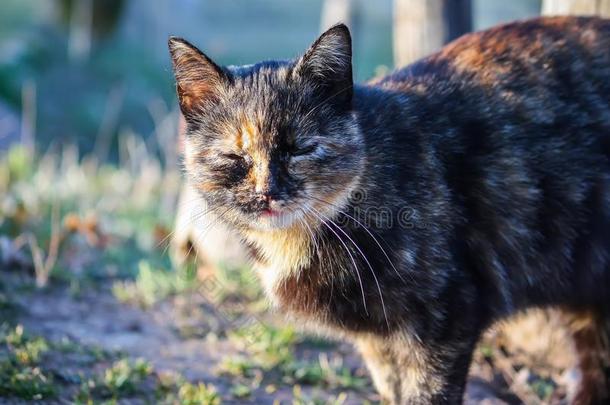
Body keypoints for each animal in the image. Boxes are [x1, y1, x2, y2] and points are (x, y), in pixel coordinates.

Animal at [167, 16, 608, 404]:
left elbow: (426, 395)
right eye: (234, 156)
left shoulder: (444, 319)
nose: (268, 192)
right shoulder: (375, 339)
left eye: (300, 148)